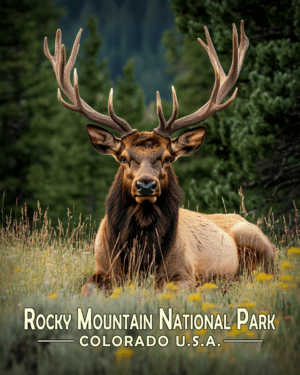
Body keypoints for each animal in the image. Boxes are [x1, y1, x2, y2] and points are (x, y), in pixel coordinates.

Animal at [43, 20, 276, 296]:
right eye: (123, 157)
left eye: (166, 158)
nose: (146, 185)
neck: (140, 258)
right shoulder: (102, 269)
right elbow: (87, 290)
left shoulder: (184, 274)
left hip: (257, 242)